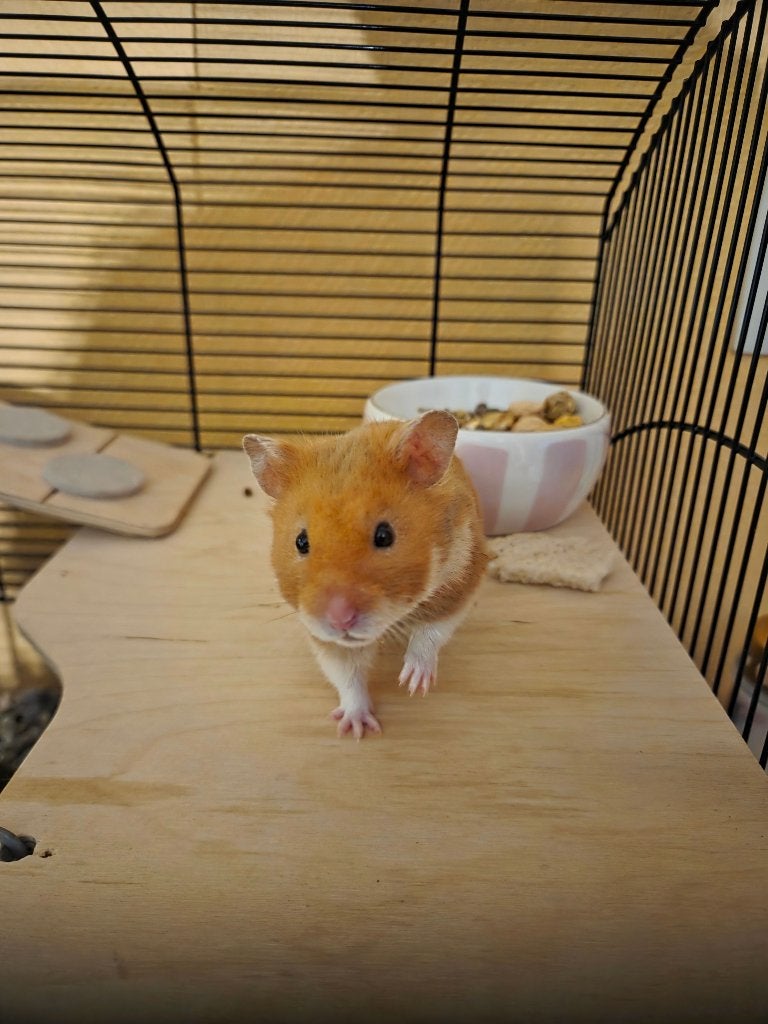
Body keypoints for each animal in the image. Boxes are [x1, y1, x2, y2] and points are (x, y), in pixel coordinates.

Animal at [243, 411, 487, 739]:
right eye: (301, 542)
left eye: (385, 536)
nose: (340, 620)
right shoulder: (326, 638)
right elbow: (347, 676)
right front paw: (357, 729)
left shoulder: (460, 582)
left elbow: (430, 632)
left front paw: (413, 684)